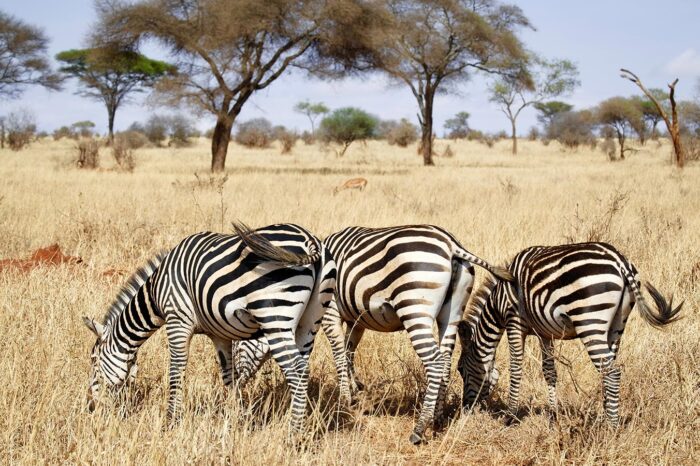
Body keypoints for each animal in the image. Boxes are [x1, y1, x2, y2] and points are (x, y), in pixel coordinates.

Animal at [83, 223, 336, 433]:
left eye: (94, 360)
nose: (90, 406)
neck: (156, 292)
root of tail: (309, 239)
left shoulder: (177, 319)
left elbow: (176, 370)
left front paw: (171, 421)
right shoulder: (219, 334)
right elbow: (229, 376)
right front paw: (236, 418)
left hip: (275, 316)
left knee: (297, 372)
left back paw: (292, 436)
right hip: (310, 321)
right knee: (302, 368)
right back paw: (296, 425)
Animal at [231, 225, 513, 444]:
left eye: (238, 346)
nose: (235, 386)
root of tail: (452, 244)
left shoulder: (331, 311)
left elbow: (338, 351)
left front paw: (345, 399)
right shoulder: (357, 318)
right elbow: (349, 350)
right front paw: (355, 390)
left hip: (415, 308)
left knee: (434, 362)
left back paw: (420, 428)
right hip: (451, 313)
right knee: (444, 360)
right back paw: (438, 417)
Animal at [457, 242, 682, 427]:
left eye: (460, 369)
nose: (465, 409)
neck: (497, 303)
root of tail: (620, 261)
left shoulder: (514, 322)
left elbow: (515, 369)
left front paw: (510, 416)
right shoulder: (544, 332)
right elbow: (549, 372)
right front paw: (553, 415)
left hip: (590, 321)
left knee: (612, 372)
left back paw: (612, 427)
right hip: (617, 324)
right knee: (608, 368)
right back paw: (606, 415)